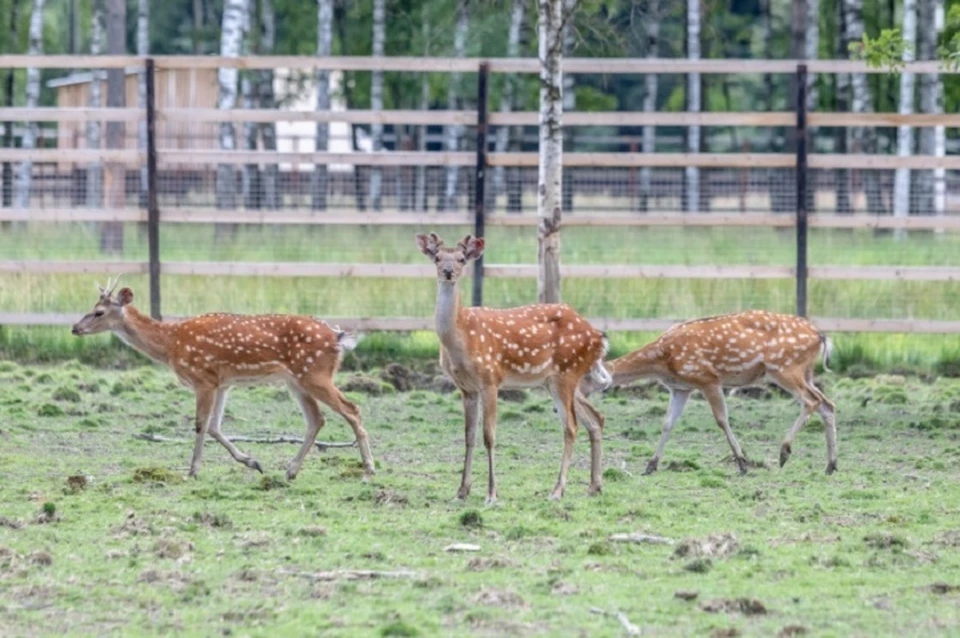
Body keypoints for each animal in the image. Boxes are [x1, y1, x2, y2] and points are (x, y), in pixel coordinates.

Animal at [70, 278, 376, 482]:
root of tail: (338, 337)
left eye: (98, 312)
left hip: (315, 373)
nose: (75, 328)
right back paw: (290, 470)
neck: (170, 345)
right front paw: (252, 461)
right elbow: (215, 426)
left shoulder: (202, 378)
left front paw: (192, 471)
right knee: (317, 419)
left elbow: (200, 425)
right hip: (297, 380)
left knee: (351, 409)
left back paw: (369, 468)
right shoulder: (222, 383)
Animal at [414, 232, 612, 508]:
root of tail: (599, 338)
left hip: (566, 374)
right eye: (437, 257)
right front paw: (461, 491)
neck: (461, 338)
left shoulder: (490, 379)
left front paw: (491, 494)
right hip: (558, 380)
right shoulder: (466, 388)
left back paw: (557, 491)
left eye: (462, 259)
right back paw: (594, 486)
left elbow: (489, 436)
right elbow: (468, 436)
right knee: (596, 418)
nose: (448, 272)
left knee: (571, 427)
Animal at [576, 310, 840, 480]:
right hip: (804, 372)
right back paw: (830, 465)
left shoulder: (707, 378)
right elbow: (667, 423)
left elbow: (722, 420)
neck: (663, 359)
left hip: (785, 368)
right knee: (828, 404)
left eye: (585, 375)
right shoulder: (681, 388)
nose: (574, 394)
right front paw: (650, 465)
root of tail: (821, 336)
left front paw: (743, 464)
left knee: (812, 401)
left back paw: (784, 452)